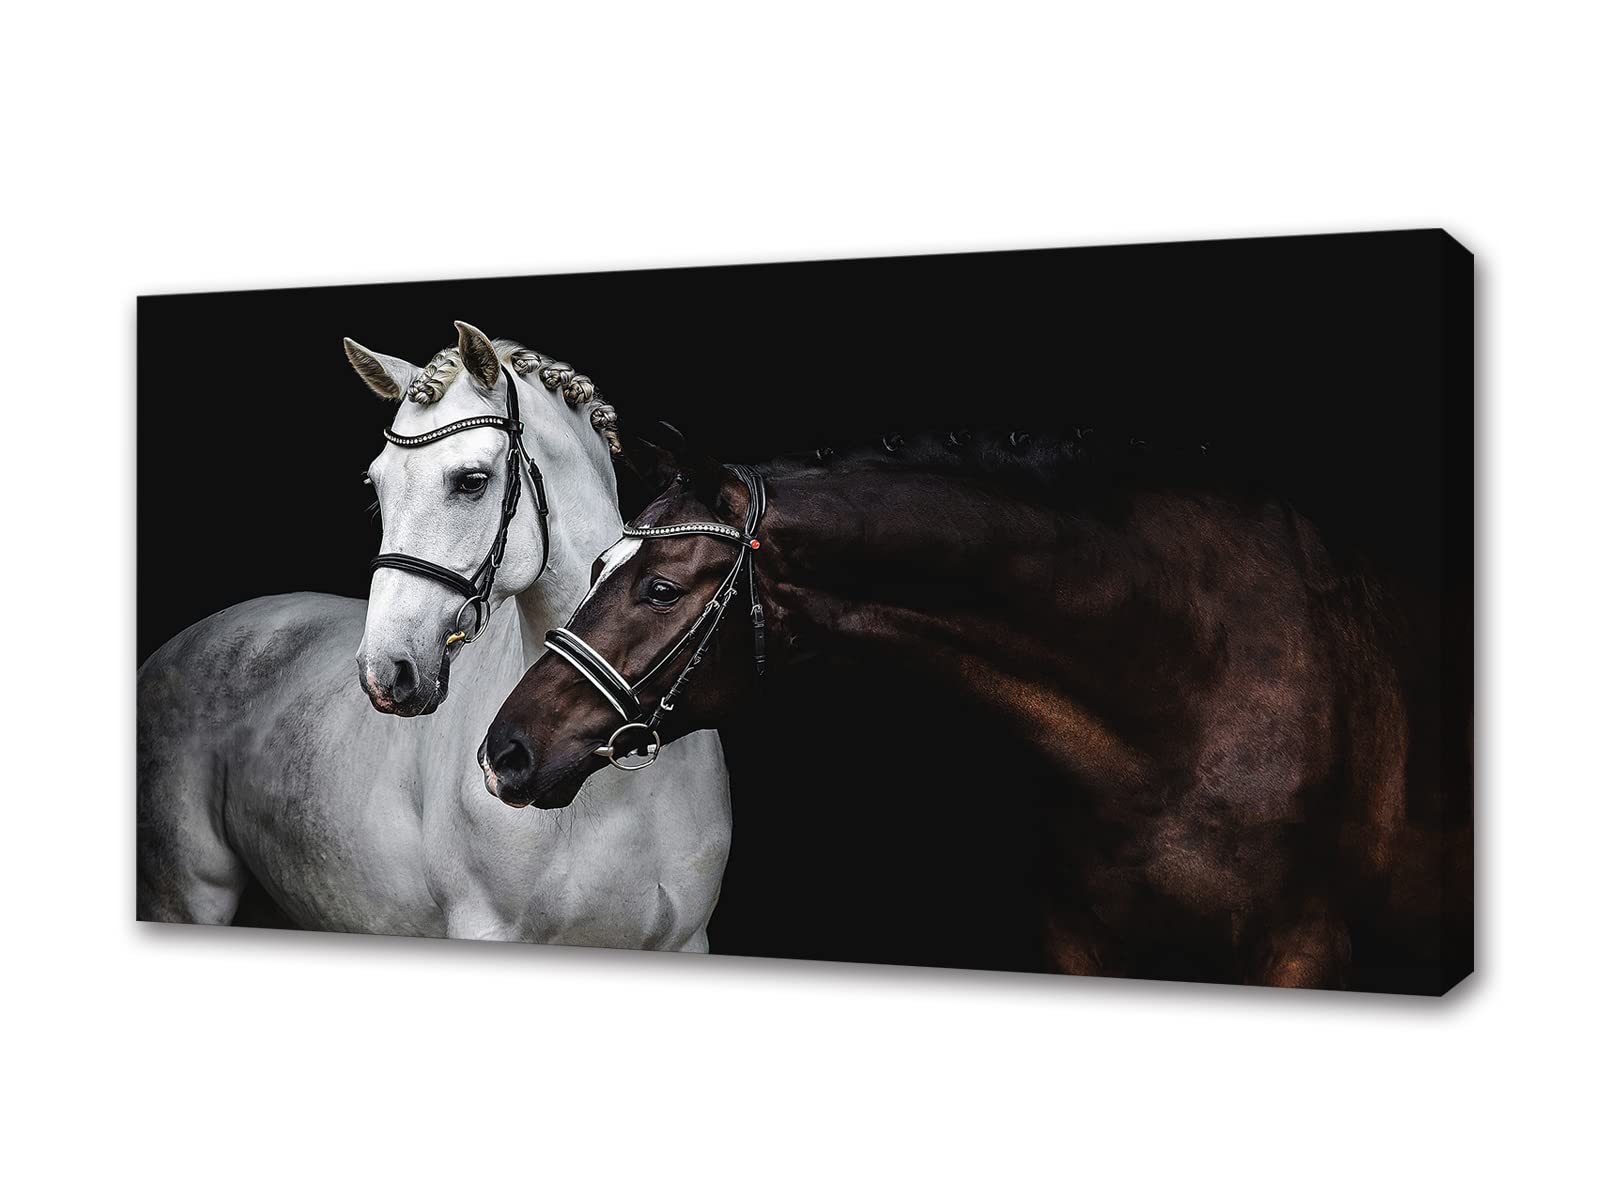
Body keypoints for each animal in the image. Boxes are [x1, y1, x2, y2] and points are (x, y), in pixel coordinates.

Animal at [137, 322, 732, 948]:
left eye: (471, 481)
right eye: (377, 483)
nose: (386, 671)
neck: (608, 782)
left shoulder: (689, 939)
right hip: (188, 898)